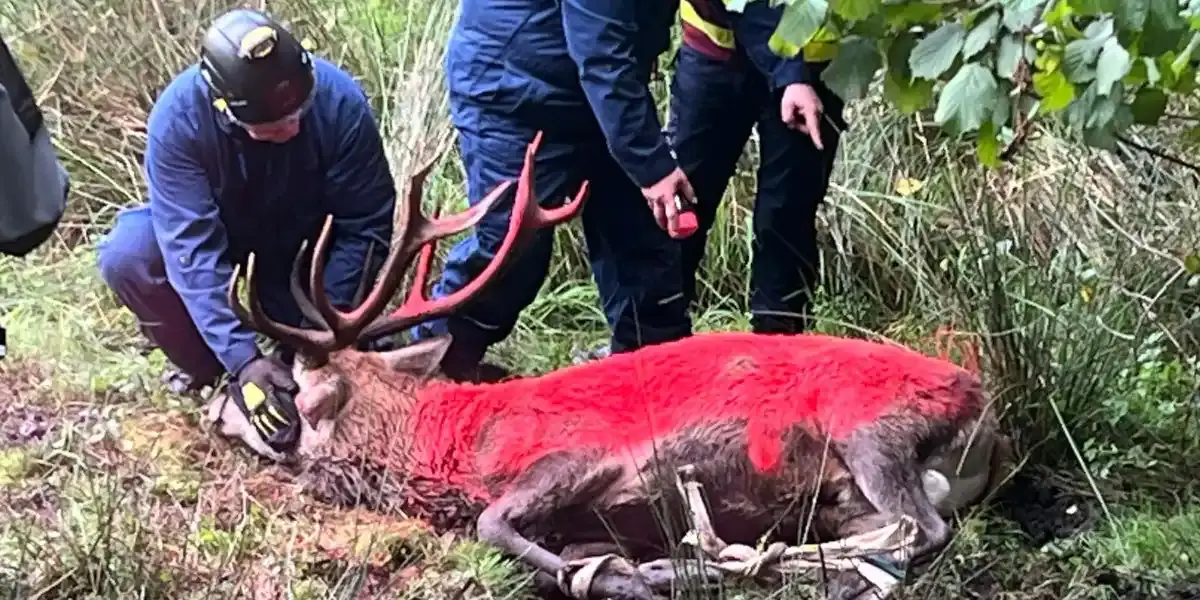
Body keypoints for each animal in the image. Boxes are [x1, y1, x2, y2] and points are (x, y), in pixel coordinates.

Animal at [203, 132, 1014, 600]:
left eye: (287, 387)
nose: (214, 406)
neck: (457, 446)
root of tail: (988, 419)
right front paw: (619, 566)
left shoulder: (588, 454)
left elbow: (493, 524)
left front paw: (602, 572)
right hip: (855, 480)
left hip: (869, 424)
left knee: (922, 530)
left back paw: (740, 556)